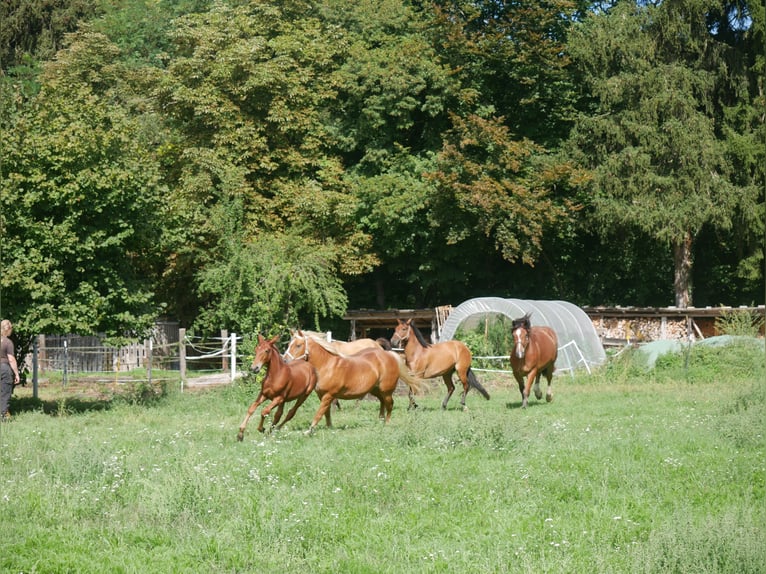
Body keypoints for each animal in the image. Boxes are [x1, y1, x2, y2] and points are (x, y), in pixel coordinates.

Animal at [284, 330, 428, 433]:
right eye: (289, 344)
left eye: (298, 345)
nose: (285, 360)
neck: (327, 365)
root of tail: (389, 355)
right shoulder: (322, 395)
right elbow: (326, 413)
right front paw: (329, 427)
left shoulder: (329, 395)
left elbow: (319, 413)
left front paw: (310, 430)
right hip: (375, 390)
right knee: (382, 402)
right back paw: (380, 420)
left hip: (386, 391)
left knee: (390, 404)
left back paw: (386, 423)